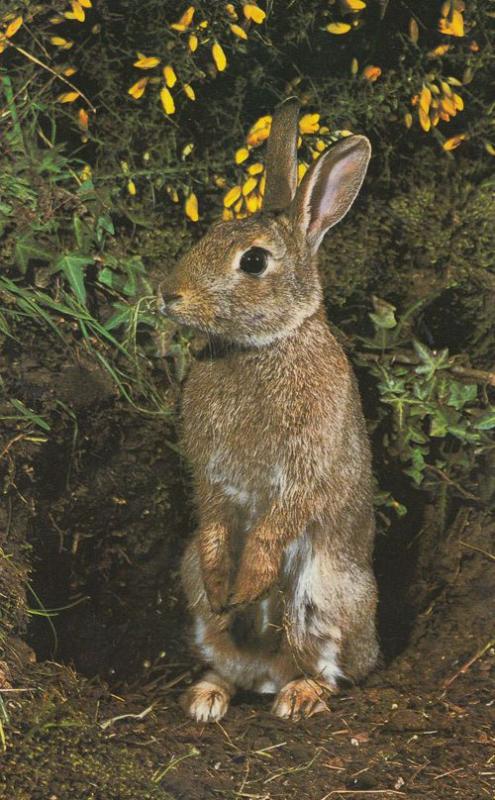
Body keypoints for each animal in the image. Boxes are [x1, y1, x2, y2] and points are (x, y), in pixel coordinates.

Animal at [162, 97, 380, 720]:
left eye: (254, 262)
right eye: (209, 234)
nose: (169, 294)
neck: (263, 345)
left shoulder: (306, 463)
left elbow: (278, 520)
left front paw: (249, 582)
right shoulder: (211, 475)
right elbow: (215, 520)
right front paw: (227, 587)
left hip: (325, 595)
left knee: (331, 668)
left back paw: (298, 696)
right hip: (193, 589)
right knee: (226, 653)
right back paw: (207, 697)